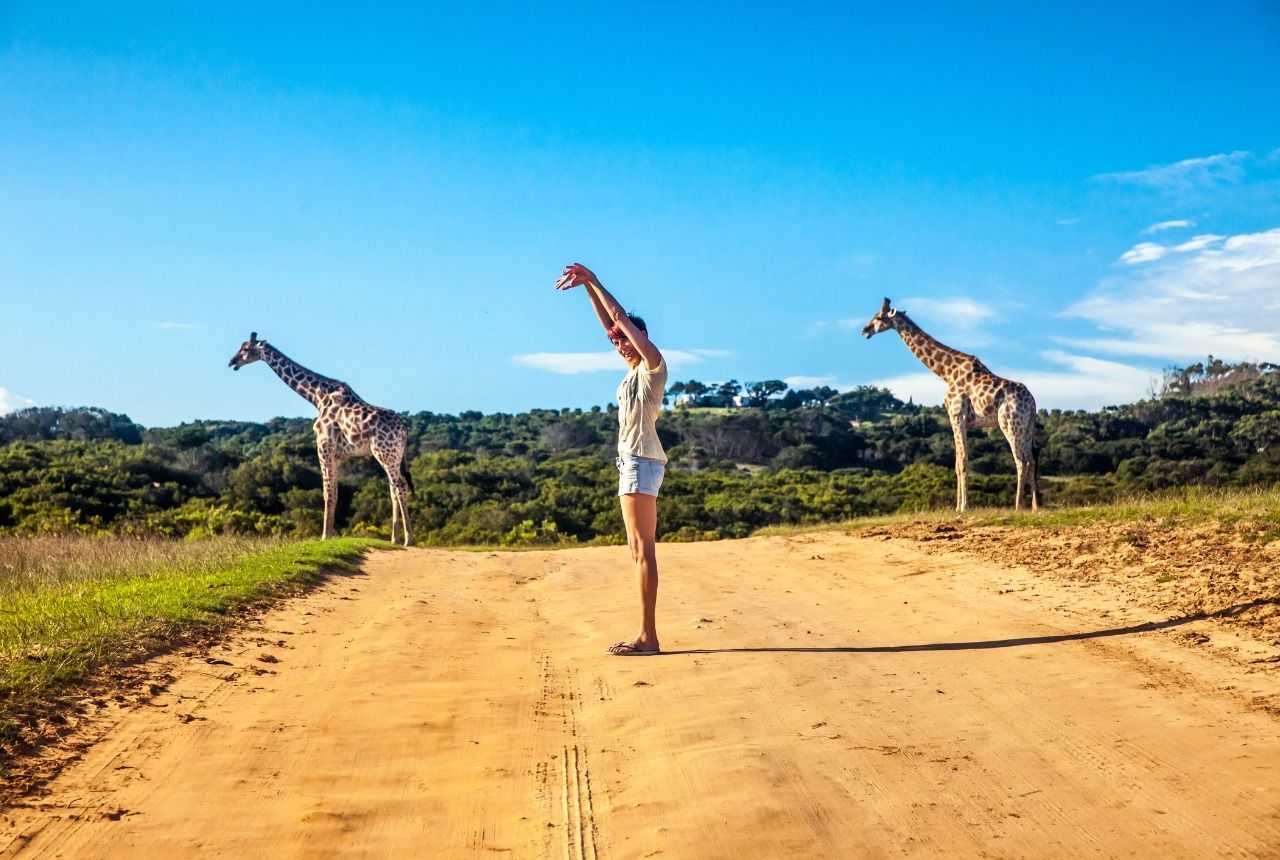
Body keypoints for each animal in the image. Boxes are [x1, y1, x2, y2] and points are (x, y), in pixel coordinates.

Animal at [227, 330, 412, 545]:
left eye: (245, 349)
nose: (231, 362)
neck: (317, 396)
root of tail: (404, 430)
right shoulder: (337, 456)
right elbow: (335, 492)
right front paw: (329, 534)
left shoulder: (323, 447)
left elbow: (327, 493)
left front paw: (325, 536)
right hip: (393, 456)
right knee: (394, 489)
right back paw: (394, 539)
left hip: (385, 453)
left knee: (400, 487)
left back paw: (408, 538)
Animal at [860, 296, 1039, 511]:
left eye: (878, 317)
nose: (864, 330)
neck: (946, 372)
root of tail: (1032, 402)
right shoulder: (962, 421)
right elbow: (956, 463)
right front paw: (957, 507)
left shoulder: (957, 416)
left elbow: (962, 462)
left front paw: (964, 507)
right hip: (1027, 427)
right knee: (1031, 460)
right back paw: (1035, 507)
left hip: (1010, 424)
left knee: (1021, 461)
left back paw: (1018, 506)